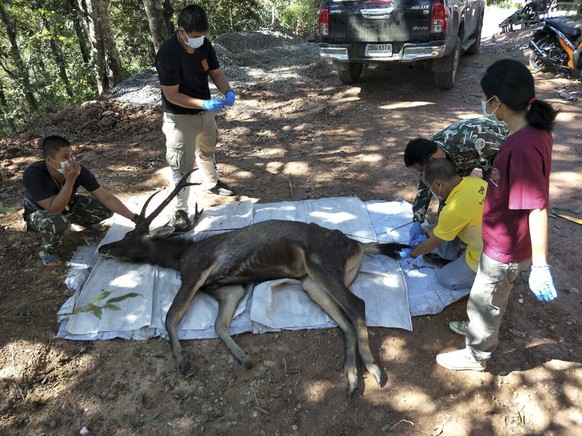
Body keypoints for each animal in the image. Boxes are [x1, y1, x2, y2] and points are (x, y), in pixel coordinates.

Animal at [98, 170, 408, 396]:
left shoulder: (196, 271)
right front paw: (244, 358)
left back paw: (374, 369)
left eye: (129, 237)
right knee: (344, 321)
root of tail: (358, 245)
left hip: (321, 262)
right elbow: (219, 325)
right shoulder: (229, 287)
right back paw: (352, 379)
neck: (179, 256)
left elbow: (171, 316)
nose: (104, 249)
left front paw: (182, 360)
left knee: (357, 305)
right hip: (311, 282)